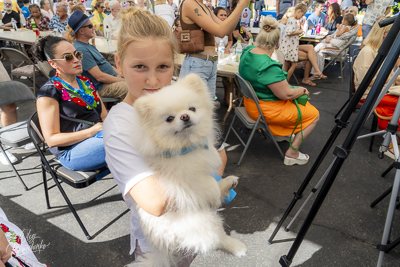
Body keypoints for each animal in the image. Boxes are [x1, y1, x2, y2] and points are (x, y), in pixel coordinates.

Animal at [129, 72, 247, 266]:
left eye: (192, 108)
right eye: (169, 118)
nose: (184, 116)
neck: (186, 147)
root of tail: (161, 244)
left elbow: (214, 179)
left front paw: (225, 184)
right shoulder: (184, 182)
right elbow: (209, 184)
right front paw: (216, 194)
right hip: (203, 221)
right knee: (217, 238)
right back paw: (237, 247)